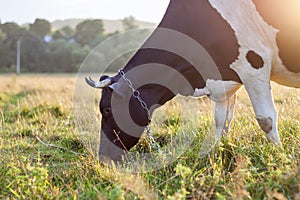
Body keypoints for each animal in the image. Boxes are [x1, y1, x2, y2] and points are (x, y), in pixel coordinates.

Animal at [85, 0, 298, 162]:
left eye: (106, 110)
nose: (102, 157)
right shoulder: (223, 79)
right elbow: (222, 120)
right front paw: (217, 152)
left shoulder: (253, 66)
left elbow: (265, 119)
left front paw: (278, 155)